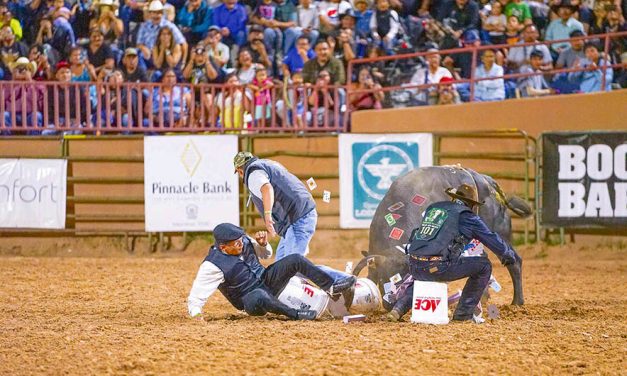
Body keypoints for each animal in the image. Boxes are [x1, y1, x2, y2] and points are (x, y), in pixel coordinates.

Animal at [354, 166, 528, 306]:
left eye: (403, 278)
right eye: (383, 279)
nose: (390, 304)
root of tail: (490, 183)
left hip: (498, 232)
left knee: (514, 261)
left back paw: (517, 302)